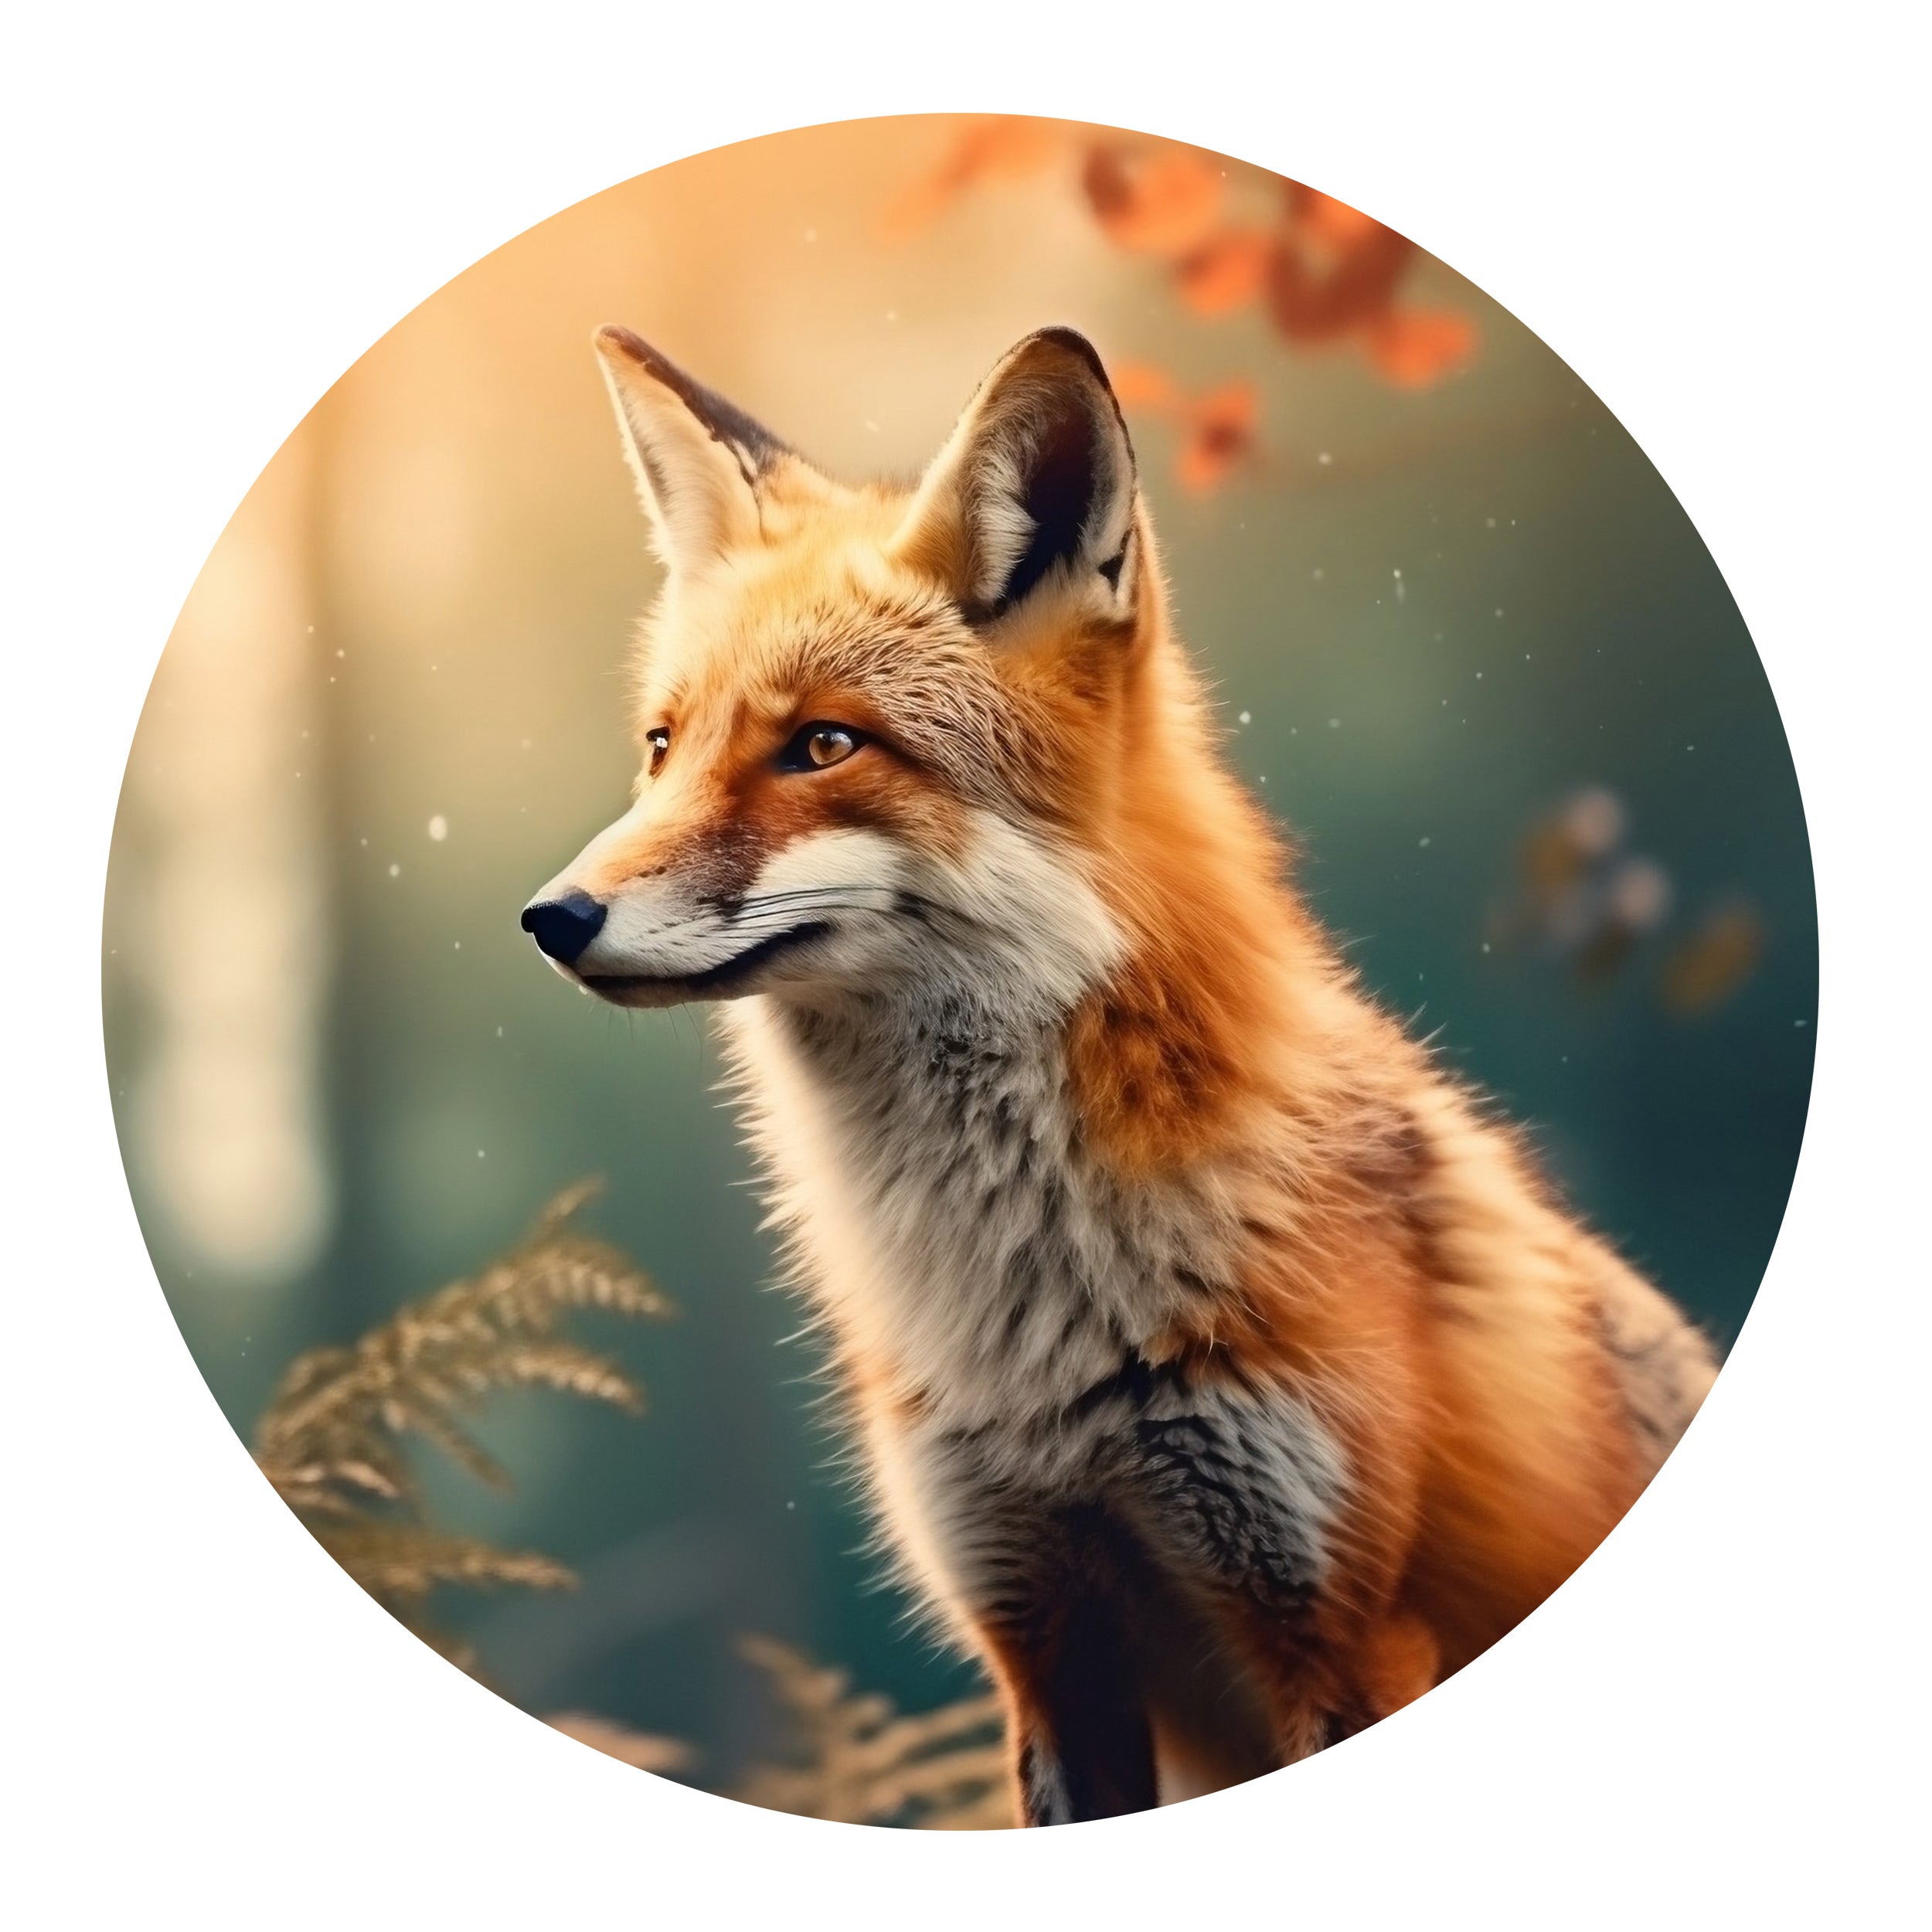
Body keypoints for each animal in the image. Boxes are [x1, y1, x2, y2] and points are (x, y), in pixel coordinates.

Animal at [521, 322, 1721, 1825]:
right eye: (663, 746)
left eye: (824, 745)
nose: (551, 917)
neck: (1035, 1334)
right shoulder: (1041, 1640)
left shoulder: (1339, 1627)